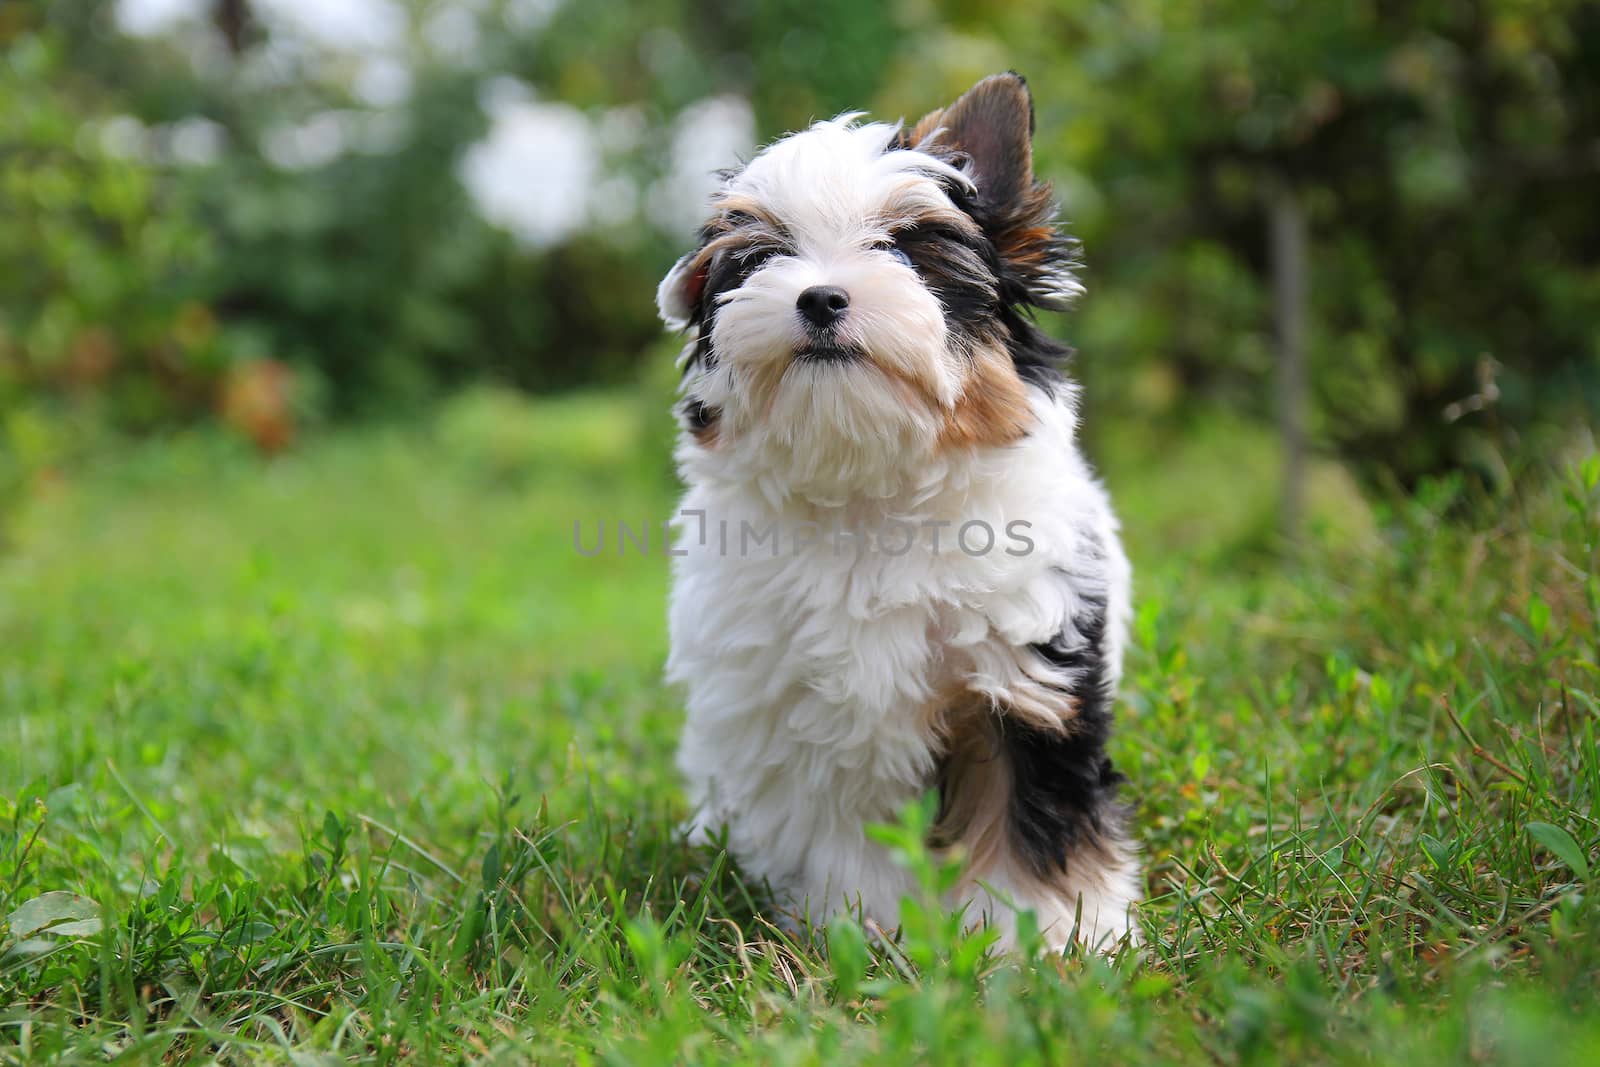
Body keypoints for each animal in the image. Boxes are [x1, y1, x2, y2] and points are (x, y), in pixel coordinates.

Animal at [659, 70, 1139, 953]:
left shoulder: (1026, 671)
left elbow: (1030, 815)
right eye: (761, 259)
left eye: (908, 250)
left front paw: (1056, 939)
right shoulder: (800, 710)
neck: (869, 486)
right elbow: (838, 829)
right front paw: (860, 930)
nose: (819, 297)